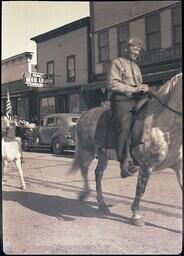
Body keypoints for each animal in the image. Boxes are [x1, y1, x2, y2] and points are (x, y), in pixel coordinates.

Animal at [69, 72, 183, 226]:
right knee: (84, 169)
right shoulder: (146, 165)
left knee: (98, 173)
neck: (164, 127)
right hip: (87, 151)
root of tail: (84, 115)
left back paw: (102, 203)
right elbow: (140, 189)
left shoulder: (179, 167)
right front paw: (136, 215)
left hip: (103, 155)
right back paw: (85, 193)